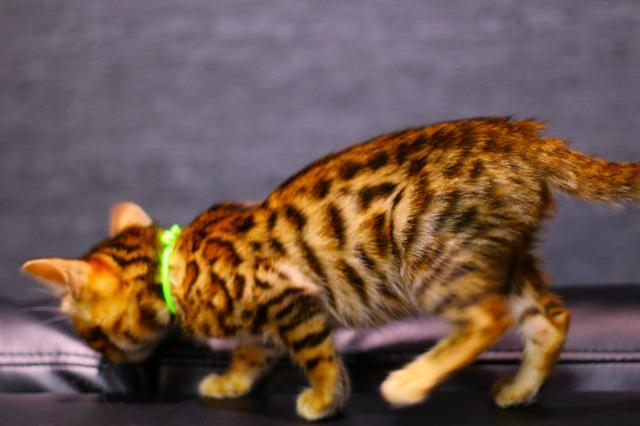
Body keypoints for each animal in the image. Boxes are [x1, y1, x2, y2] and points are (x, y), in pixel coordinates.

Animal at [22, 117, 639, 420]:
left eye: (91, 334)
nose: (102, 360)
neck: (174, 267)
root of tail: (518, 136)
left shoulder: (288, 295)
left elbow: (315, 354)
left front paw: (323, 400)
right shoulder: (266, 316)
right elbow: (254, 349)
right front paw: (231, 380)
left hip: (431, 253)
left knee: (486, 318)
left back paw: (409, 382)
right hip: (502, 254)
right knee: (551, 317)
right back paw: (520, 389)